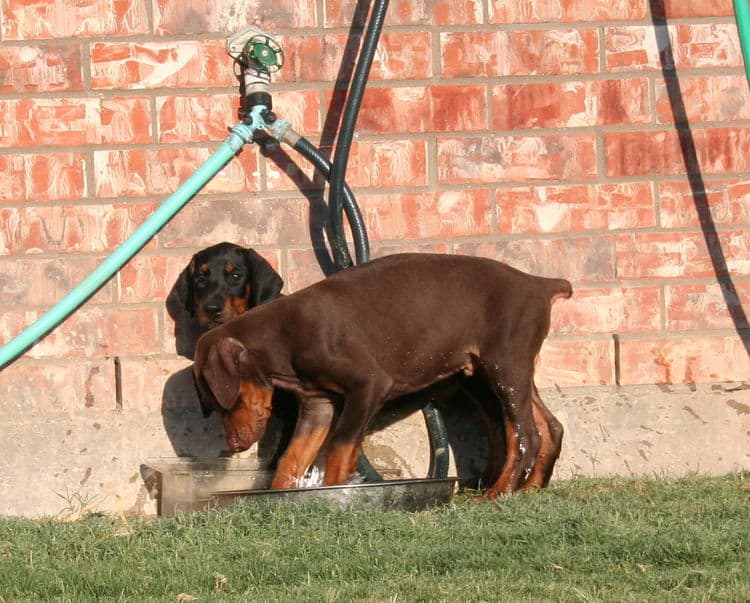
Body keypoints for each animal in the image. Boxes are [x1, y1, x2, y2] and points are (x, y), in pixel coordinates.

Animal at [192, 252, 568, 498]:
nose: (234, 445)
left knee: (525, 436)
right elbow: (291, 459)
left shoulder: (368, 385)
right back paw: (530, 489)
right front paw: (280, 495)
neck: (284, 335)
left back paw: (498, 493)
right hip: (512, 371)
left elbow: (341, 446)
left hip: (504, 366)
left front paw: (334, 491)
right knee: (550, 427)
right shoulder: (317, 405)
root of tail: (539, 284)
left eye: (225, 402)